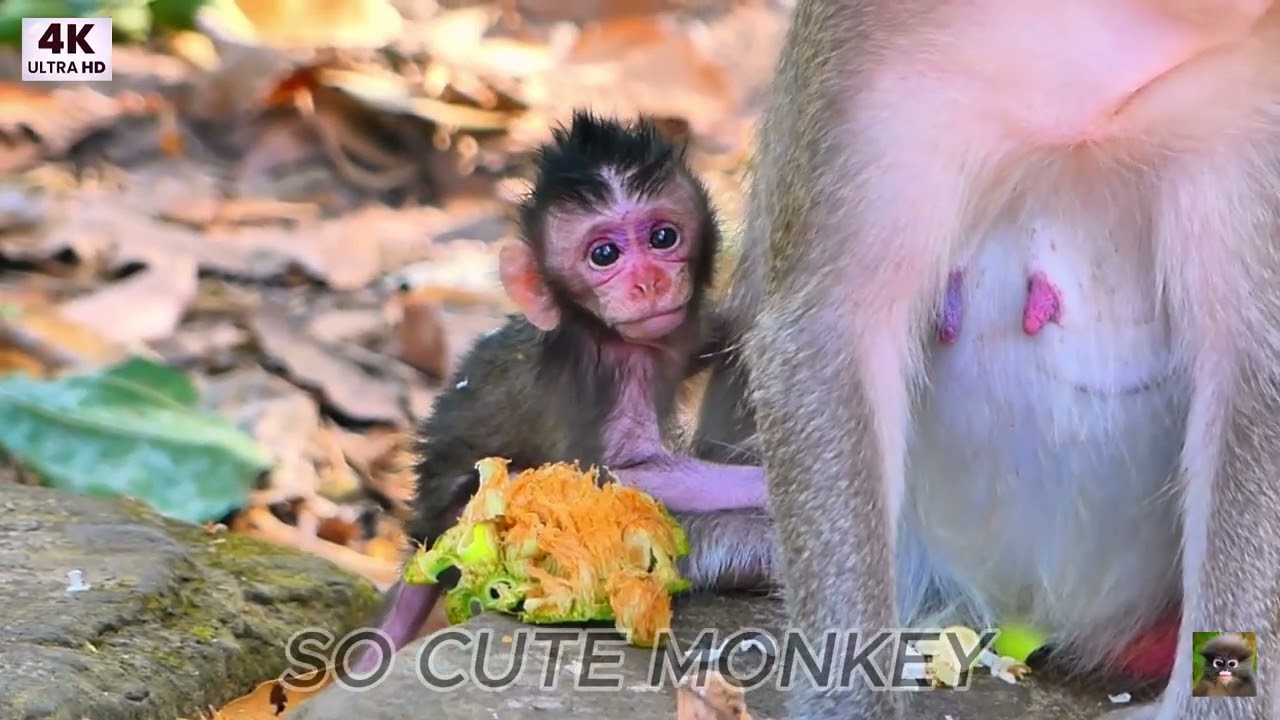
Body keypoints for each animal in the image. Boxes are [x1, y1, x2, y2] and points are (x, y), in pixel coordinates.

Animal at [347, 110, 769, 674]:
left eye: (663, 237)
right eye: (605, 254)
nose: (650, 284)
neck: (599, 330)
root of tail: (422, 530)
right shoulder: (612, 372)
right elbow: (626, 470)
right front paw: (771, 483)